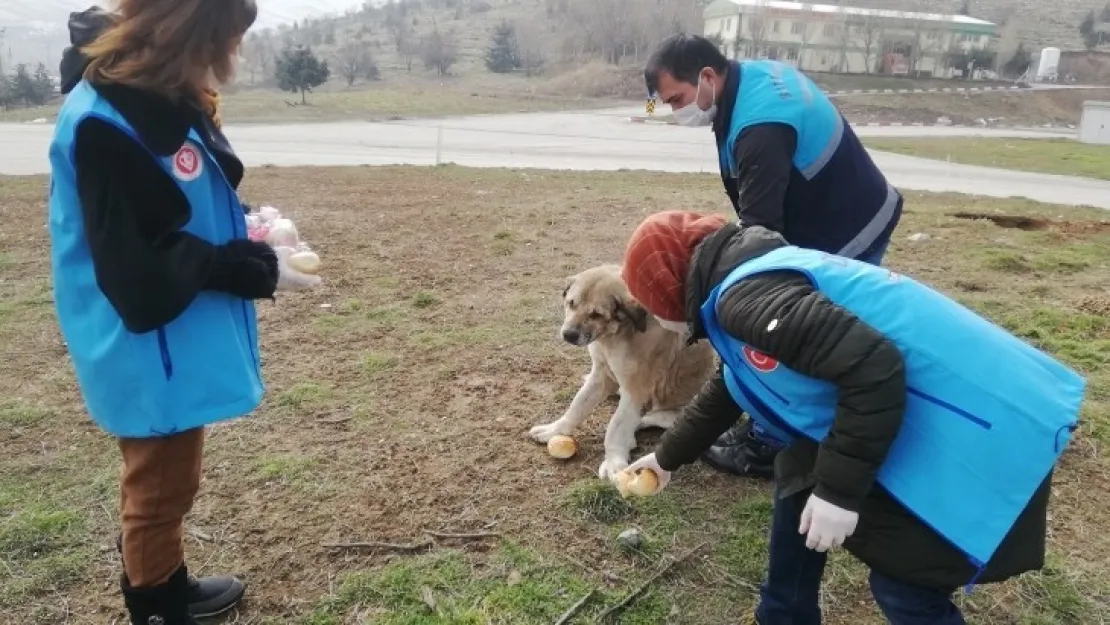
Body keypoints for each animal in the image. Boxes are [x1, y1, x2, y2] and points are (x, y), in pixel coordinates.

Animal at [530, 264, 719, 479]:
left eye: (596, 314)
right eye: (571, 304)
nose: (569, 335)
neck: (615, 334)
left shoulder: (635, 390)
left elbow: (617, 424)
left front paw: (613, 461)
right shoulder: (601, 375)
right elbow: (577, 406)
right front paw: (554, 430)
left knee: (651, 419)